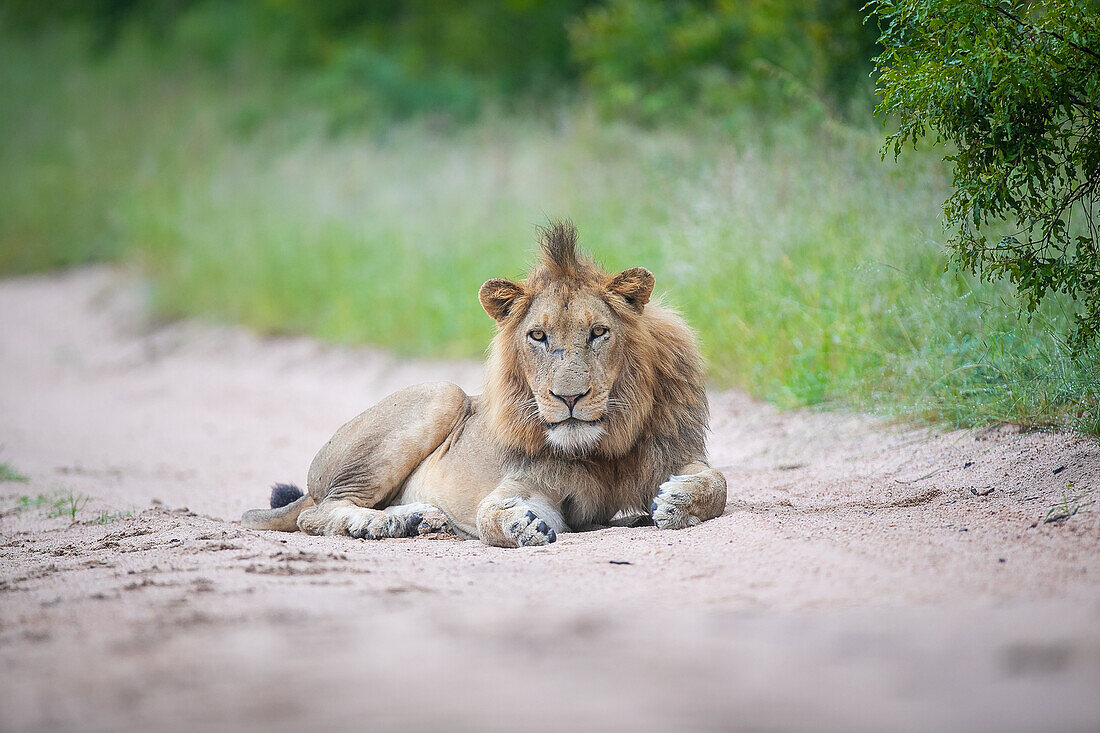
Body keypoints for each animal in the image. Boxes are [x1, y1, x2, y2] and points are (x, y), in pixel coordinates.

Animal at [242, 220, 726, 545]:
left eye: (598, 332)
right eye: (538, 336)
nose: (569, 398)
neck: (601, 447)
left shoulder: (673, 452)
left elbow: (719, 483)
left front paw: (678, 502)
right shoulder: (525, 482)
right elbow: (490, 514)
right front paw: (518, 524)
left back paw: (420, 520)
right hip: (443, 395)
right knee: (317, 513)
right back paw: (382, 523)